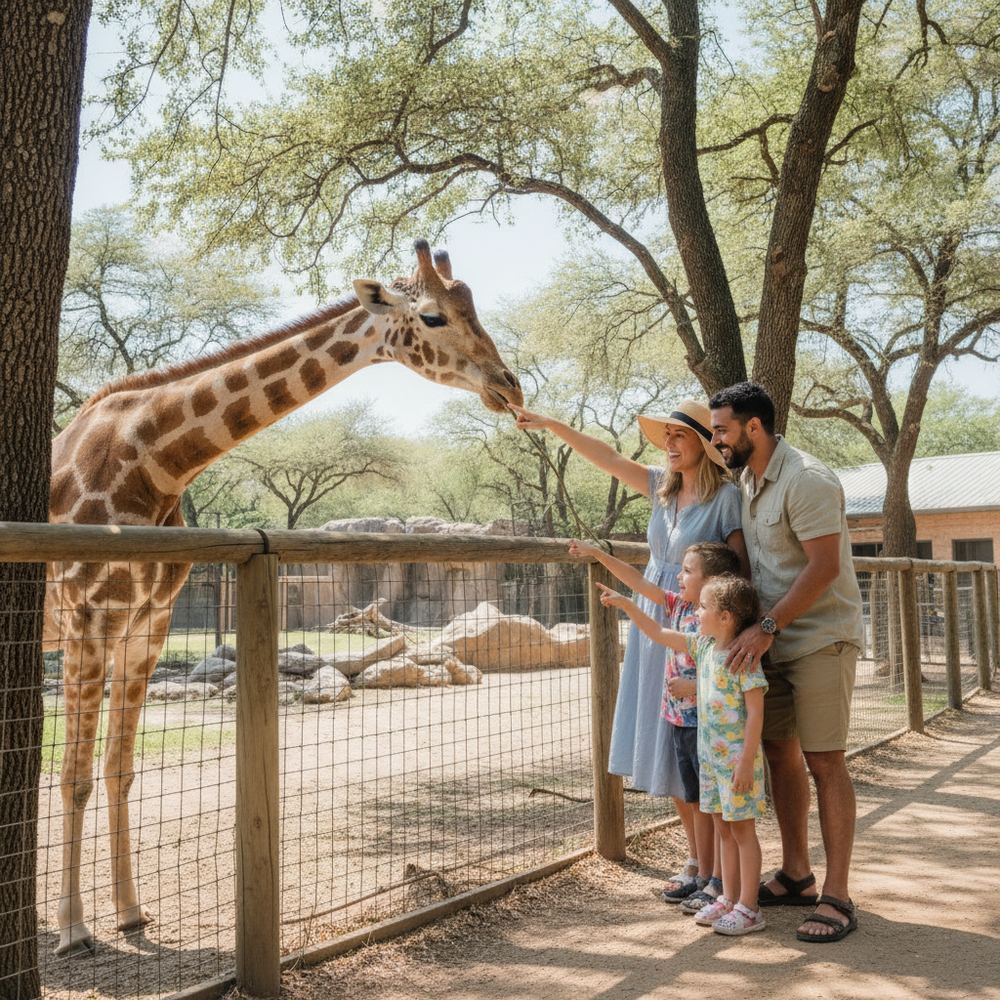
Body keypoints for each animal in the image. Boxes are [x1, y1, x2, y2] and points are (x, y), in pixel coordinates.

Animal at [44, 240, 523, 957]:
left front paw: (130, 915)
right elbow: (74, 773)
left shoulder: (148, 623)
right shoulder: (87, 616)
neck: (154, 460)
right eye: (434, 316)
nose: (509, 386)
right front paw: (75, 929)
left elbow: (117, 768)